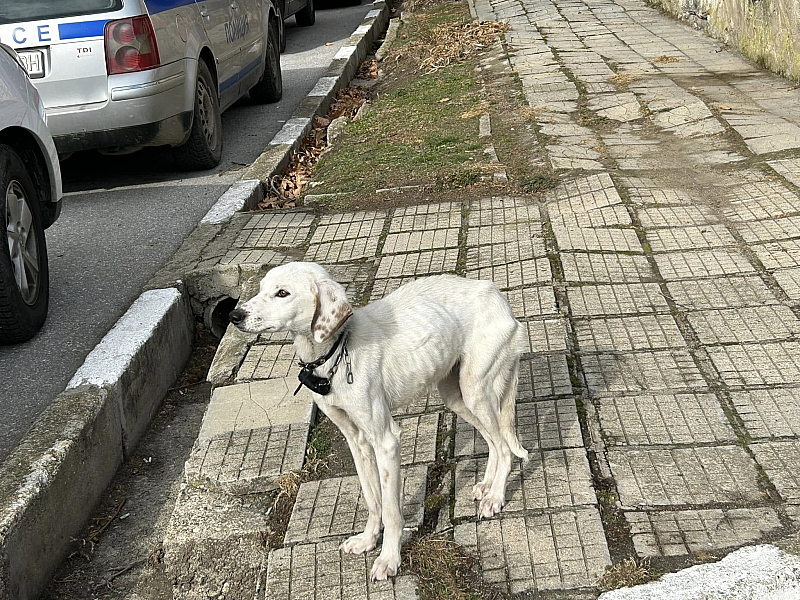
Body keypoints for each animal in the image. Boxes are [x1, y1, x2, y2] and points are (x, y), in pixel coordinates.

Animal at [228, 260, 528, 580]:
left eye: (282, 293)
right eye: (260, 288)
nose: (234, 315)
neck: (337, 352)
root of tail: (495, 293)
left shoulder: (386, 440)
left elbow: (392, 511)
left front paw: (389, 558)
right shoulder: (356, 440)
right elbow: (373, 501)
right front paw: (367, 540)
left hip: (475, 390)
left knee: (505, 447)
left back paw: (495, 496)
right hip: (456, 396)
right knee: (494, 442)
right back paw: (487, 486)